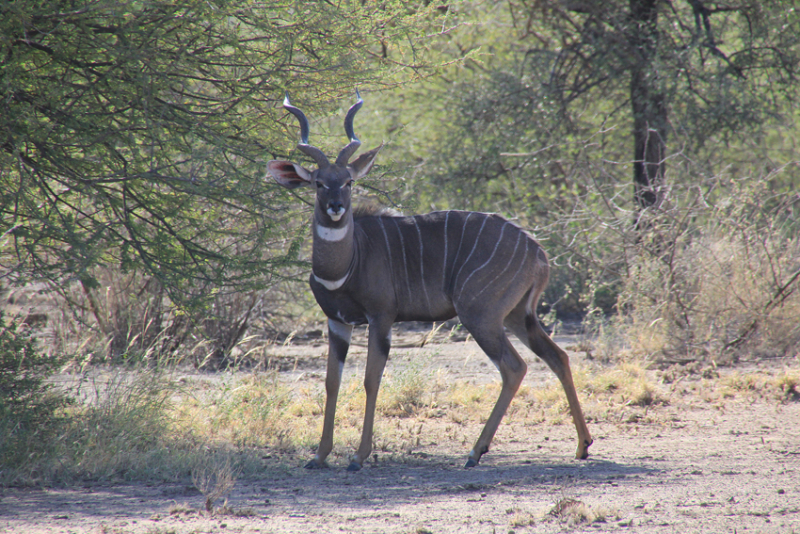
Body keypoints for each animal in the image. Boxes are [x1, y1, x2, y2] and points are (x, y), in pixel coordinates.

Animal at [270, 92, 592, 474]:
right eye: (319, 182)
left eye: (348, 181)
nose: (335, 207)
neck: (346, 264)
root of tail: (538, 251)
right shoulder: (337, 322)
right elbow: (332, 382)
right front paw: (319, 456)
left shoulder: (381, 317)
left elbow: (370, 379)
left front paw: (358, 457)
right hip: (517, 316)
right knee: (558, 357)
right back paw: (582, 445)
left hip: (481, 316)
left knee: (515, 367)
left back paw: (475, 452)